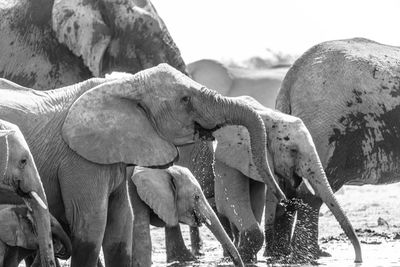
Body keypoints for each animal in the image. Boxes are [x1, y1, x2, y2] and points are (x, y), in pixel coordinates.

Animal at [272, 37, 400, 264]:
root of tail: (291, 78)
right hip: (327, 129)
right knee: (313, 192)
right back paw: (311, 256)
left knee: (287, 188)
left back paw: (281, 255)